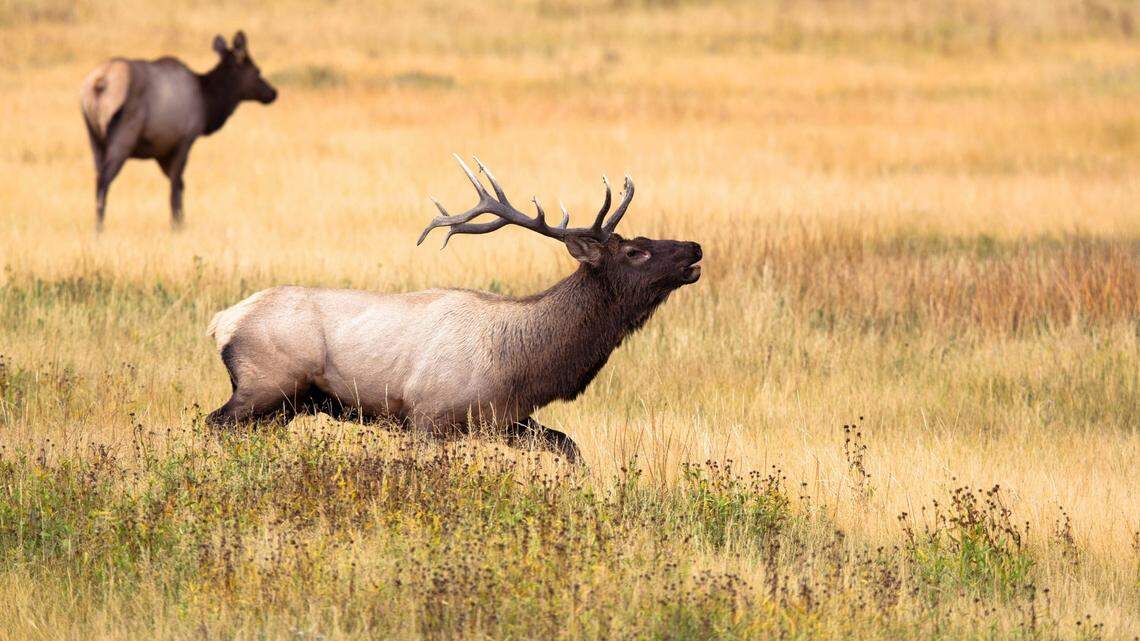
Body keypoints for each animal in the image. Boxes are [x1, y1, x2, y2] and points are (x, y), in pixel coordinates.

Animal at [79, 31, 277, 232]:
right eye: (257, 71)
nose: (273, 93)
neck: (207, 103)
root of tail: (100, 83)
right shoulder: (185, 139)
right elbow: (177, 184)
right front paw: (177, 225)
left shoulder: (161, 151)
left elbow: (179, 184)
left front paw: (180, 221)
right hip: (124, 134)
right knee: (105, 179)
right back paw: (99, 228)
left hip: (94, 138)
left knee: (97, 177)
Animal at [204, 156, 703, 463]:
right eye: (635, 251)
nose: (694, 248)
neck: (522, 363)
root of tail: (221, 322)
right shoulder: (428, 415)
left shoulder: (507, 420)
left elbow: (570, 448)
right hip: (266, 384)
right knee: (213, 423)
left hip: (285, 406)